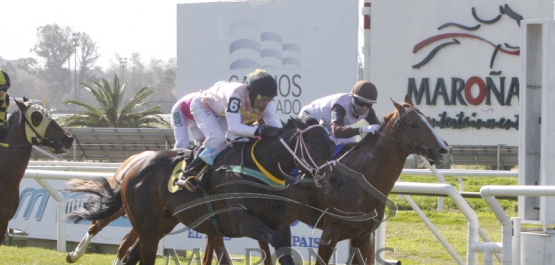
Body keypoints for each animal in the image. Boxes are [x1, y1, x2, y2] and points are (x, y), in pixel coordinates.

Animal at [65, 116, 338, 264]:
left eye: (331, 142)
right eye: (313, 144)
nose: (335, 179)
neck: (256, 169)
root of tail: (133, 166)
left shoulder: (279, 223)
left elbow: (282, 248)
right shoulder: (241, 222)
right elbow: (273, 242)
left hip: (164, 223)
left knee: (132, 254)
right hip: (147, 226)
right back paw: (75, 254)